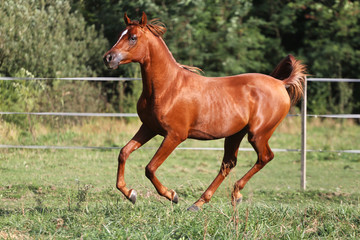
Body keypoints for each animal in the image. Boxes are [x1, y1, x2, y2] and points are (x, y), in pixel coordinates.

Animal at [102, 11, 306, 210]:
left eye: (133, 37)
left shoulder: (175, 135)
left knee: (264, 157)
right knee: (228, 163)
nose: (108, 58)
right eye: (120, 34)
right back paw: (200, 203)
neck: (168, 87)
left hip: (258, 134)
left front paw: (172, 195)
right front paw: (130, 193)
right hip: (235, 134)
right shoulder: (149, 128)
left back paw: (234, 193)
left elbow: (150, 168)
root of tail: (280, 83)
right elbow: (123, 153)